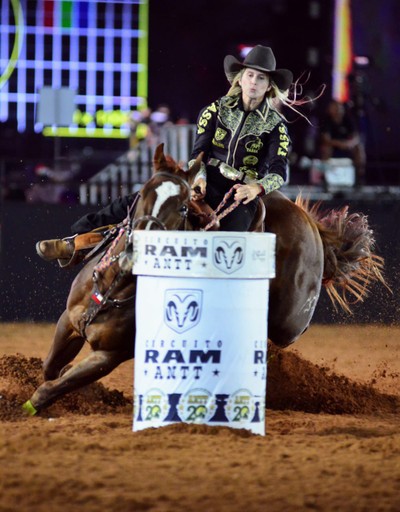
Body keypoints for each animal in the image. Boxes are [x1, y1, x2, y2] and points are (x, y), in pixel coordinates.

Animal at [23, 145, 386, 416]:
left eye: (184, 207)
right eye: (142, 194)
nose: (136, 249)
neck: (119, 286)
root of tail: (310, 223)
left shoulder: (110, 355)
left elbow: (53, 386)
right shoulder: (68, 322)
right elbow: (51, 369)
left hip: (290, 321)